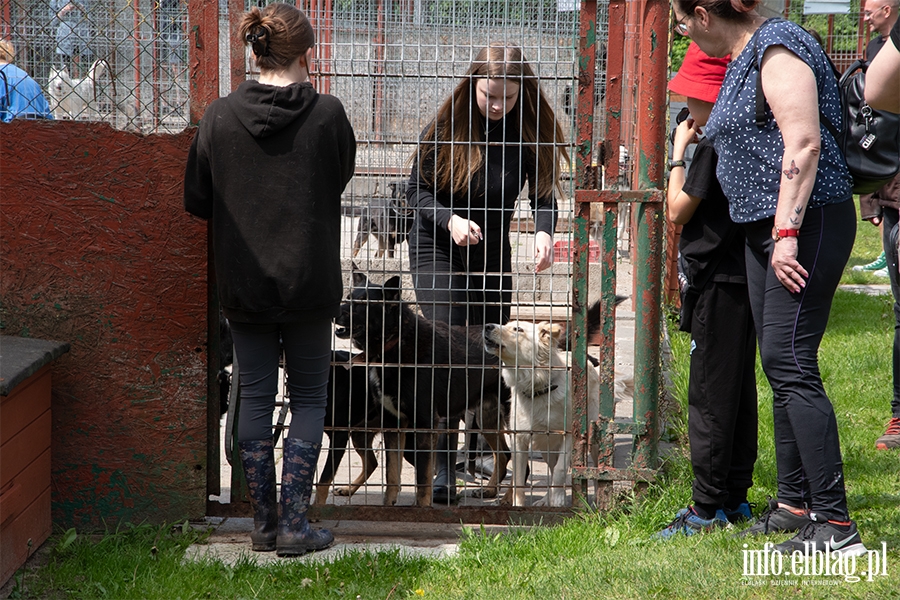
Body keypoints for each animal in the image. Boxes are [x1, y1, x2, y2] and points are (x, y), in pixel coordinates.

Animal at [332, 270, 512, 506]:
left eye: (363, 303)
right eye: (348, 298)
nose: (334, 313)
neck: (396, 342)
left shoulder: (425, 423)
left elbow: (423, 477)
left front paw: (421, 506)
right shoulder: (394, 422)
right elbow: (392, 474)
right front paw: (388, 506)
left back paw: (509, 499)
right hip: (486, 417)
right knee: (505, 454)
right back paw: (490, 491)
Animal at [486, 318, 632, 506]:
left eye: (518, 329)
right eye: (504, 325)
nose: (487, 326)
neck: (538, 388)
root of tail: (593, 366)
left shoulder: (569, 436)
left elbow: (560, 470)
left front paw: (558, 499)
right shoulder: (519, 439)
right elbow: (519, 480)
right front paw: (519, 506)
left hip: (594, 441)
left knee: (595, 468)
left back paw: (596, 499)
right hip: (546, 446)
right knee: (550, 467)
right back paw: (545, 500)